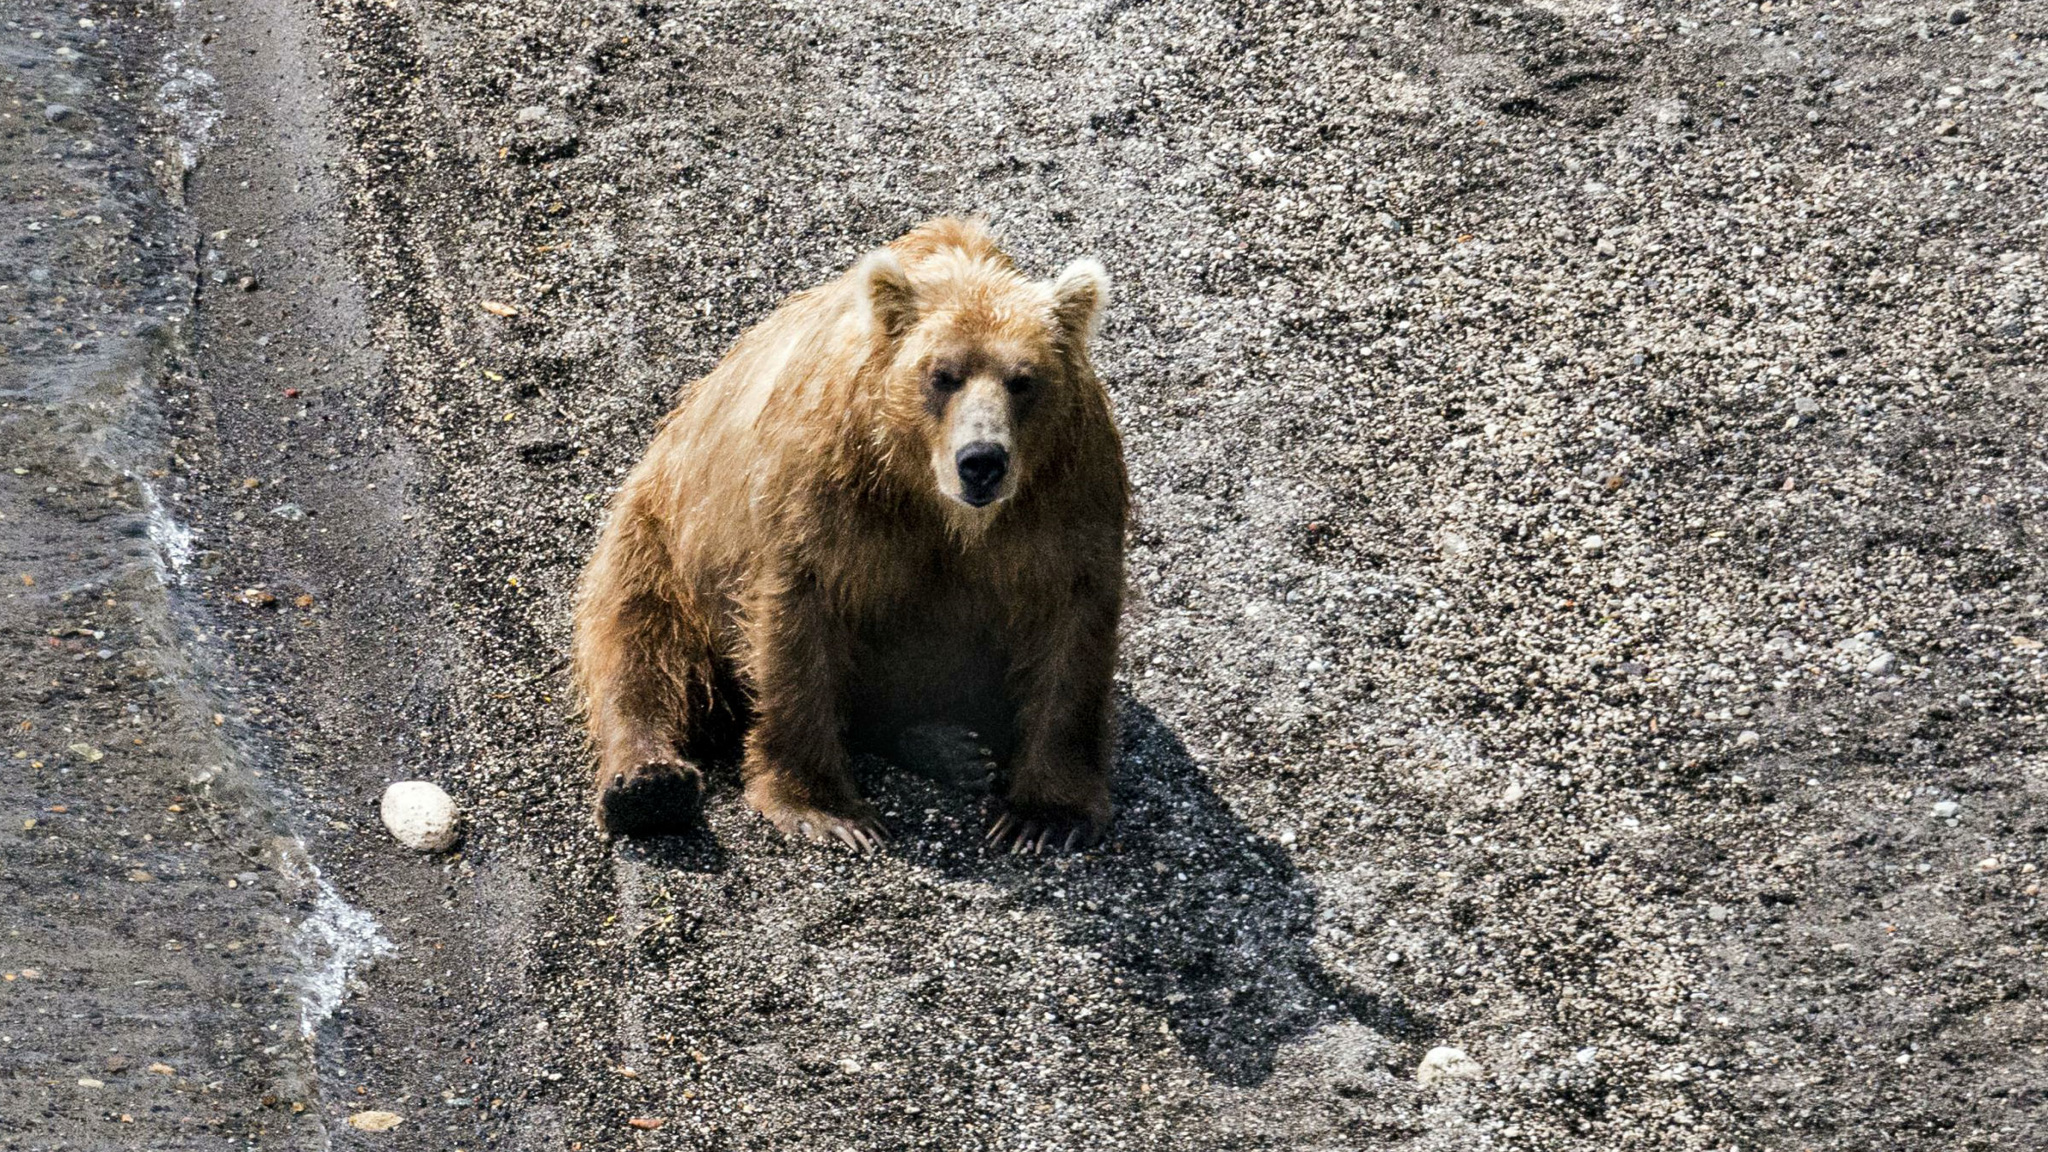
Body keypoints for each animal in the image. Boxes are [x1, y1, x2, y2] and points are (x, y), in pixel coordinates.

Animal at [571, 218, 1126, 854]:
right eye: (942, 375)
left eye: (1023, 380)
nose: (981, 461)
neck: (934, 501)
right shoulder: (827, 490)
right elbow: (797, 620)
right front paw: (827, 808)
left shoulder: (1065, 495)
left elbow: (1073, 626)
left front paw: (1044, 814)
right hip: (660, 530)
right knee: (639, 637)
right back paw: (647, 783)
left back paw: (952, 748)